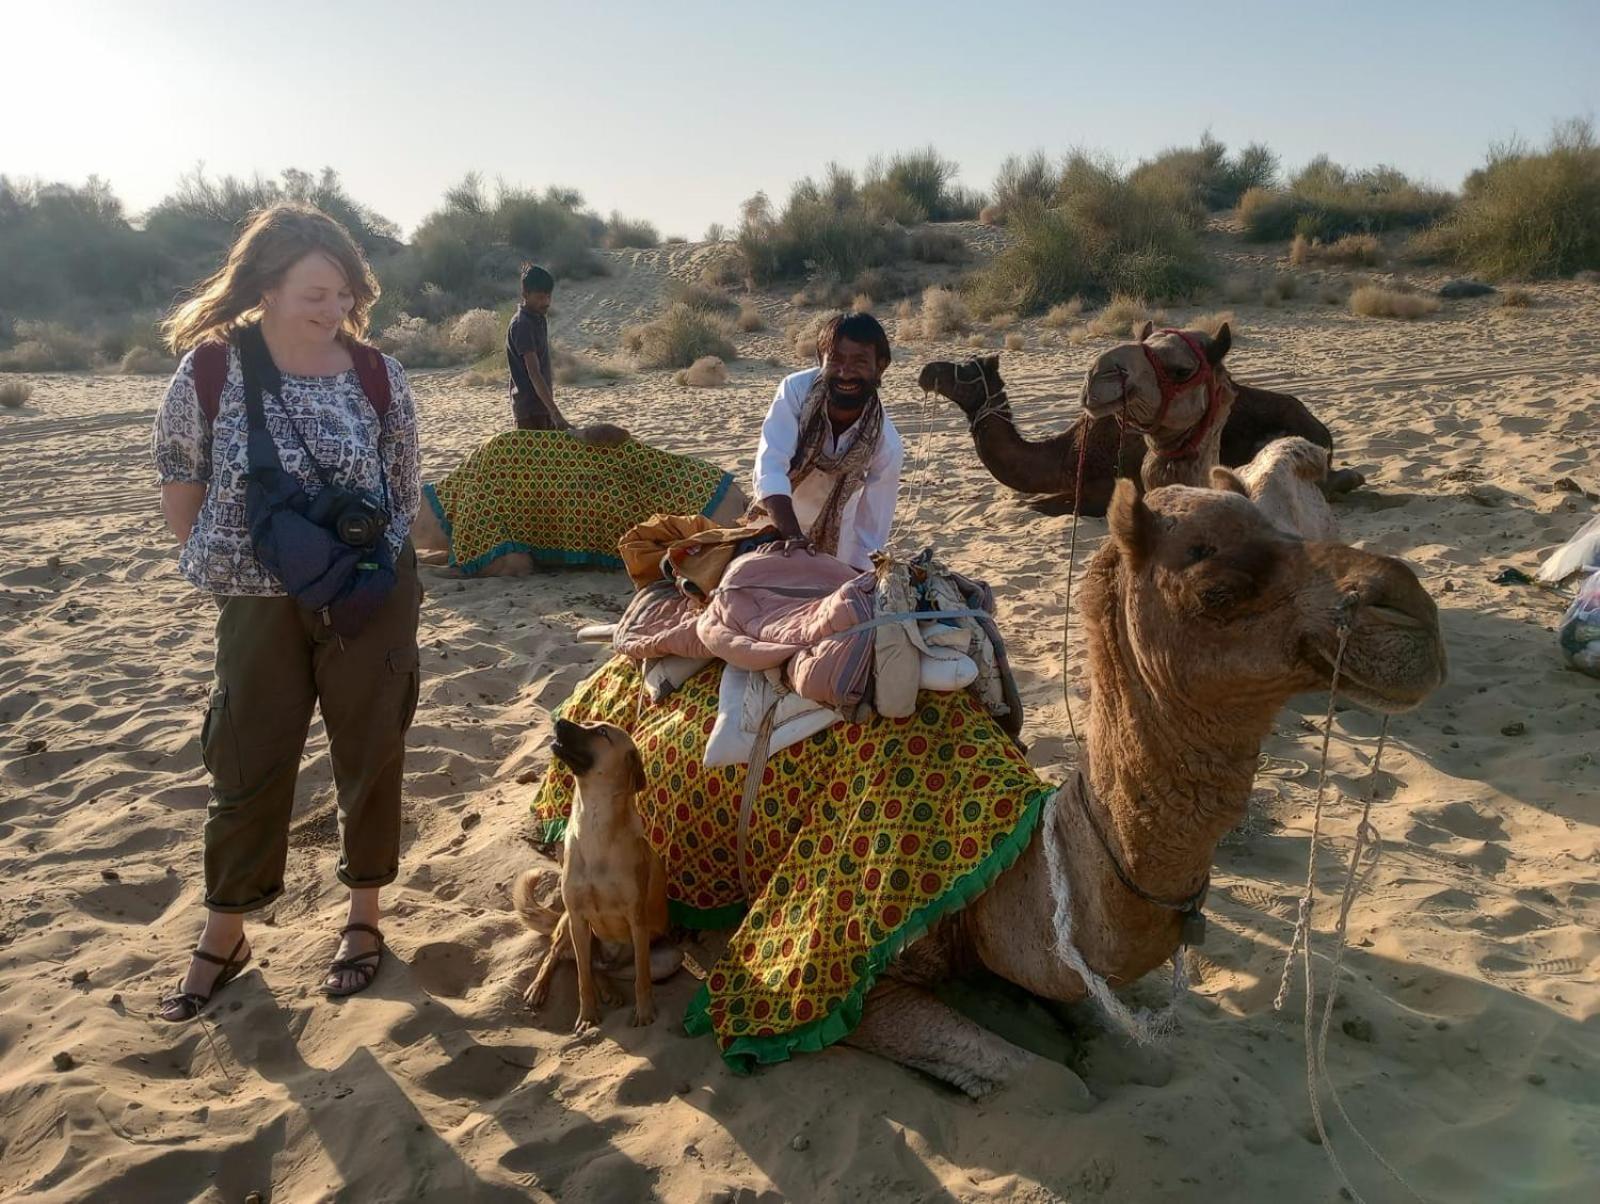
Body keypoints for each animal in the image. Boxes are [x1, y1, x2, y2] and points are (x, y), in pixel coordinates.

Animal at [515, 720, 672, 1031]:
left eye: (601, 733)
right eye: (587, 723)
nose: (559, 721)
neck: (594, 823)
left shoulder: (637, 921)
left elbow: (642, 977)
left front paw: (644, 1012)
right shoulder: (577, 918)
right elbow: (581, 980)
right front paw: (587, 1016)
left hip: (667, 957)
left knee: (601, 968)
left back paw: (611, 990)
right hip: (569, 927)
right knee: (561, 958)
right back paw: (538, 988)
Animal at [531, 477, 1446, 1088]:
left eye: (1285, 530)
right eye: (1217, 588)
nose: (1414, 614)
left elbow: (1100, 1023)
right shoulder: (838, 967)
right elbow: (1043, 1080)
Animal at [928, 329, 1363, 518]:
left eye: (965, 371)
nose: (927, 370)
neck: (1068, 453)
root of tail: (1321, 427)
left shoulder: (1104, 487)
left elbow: (1050, 506)